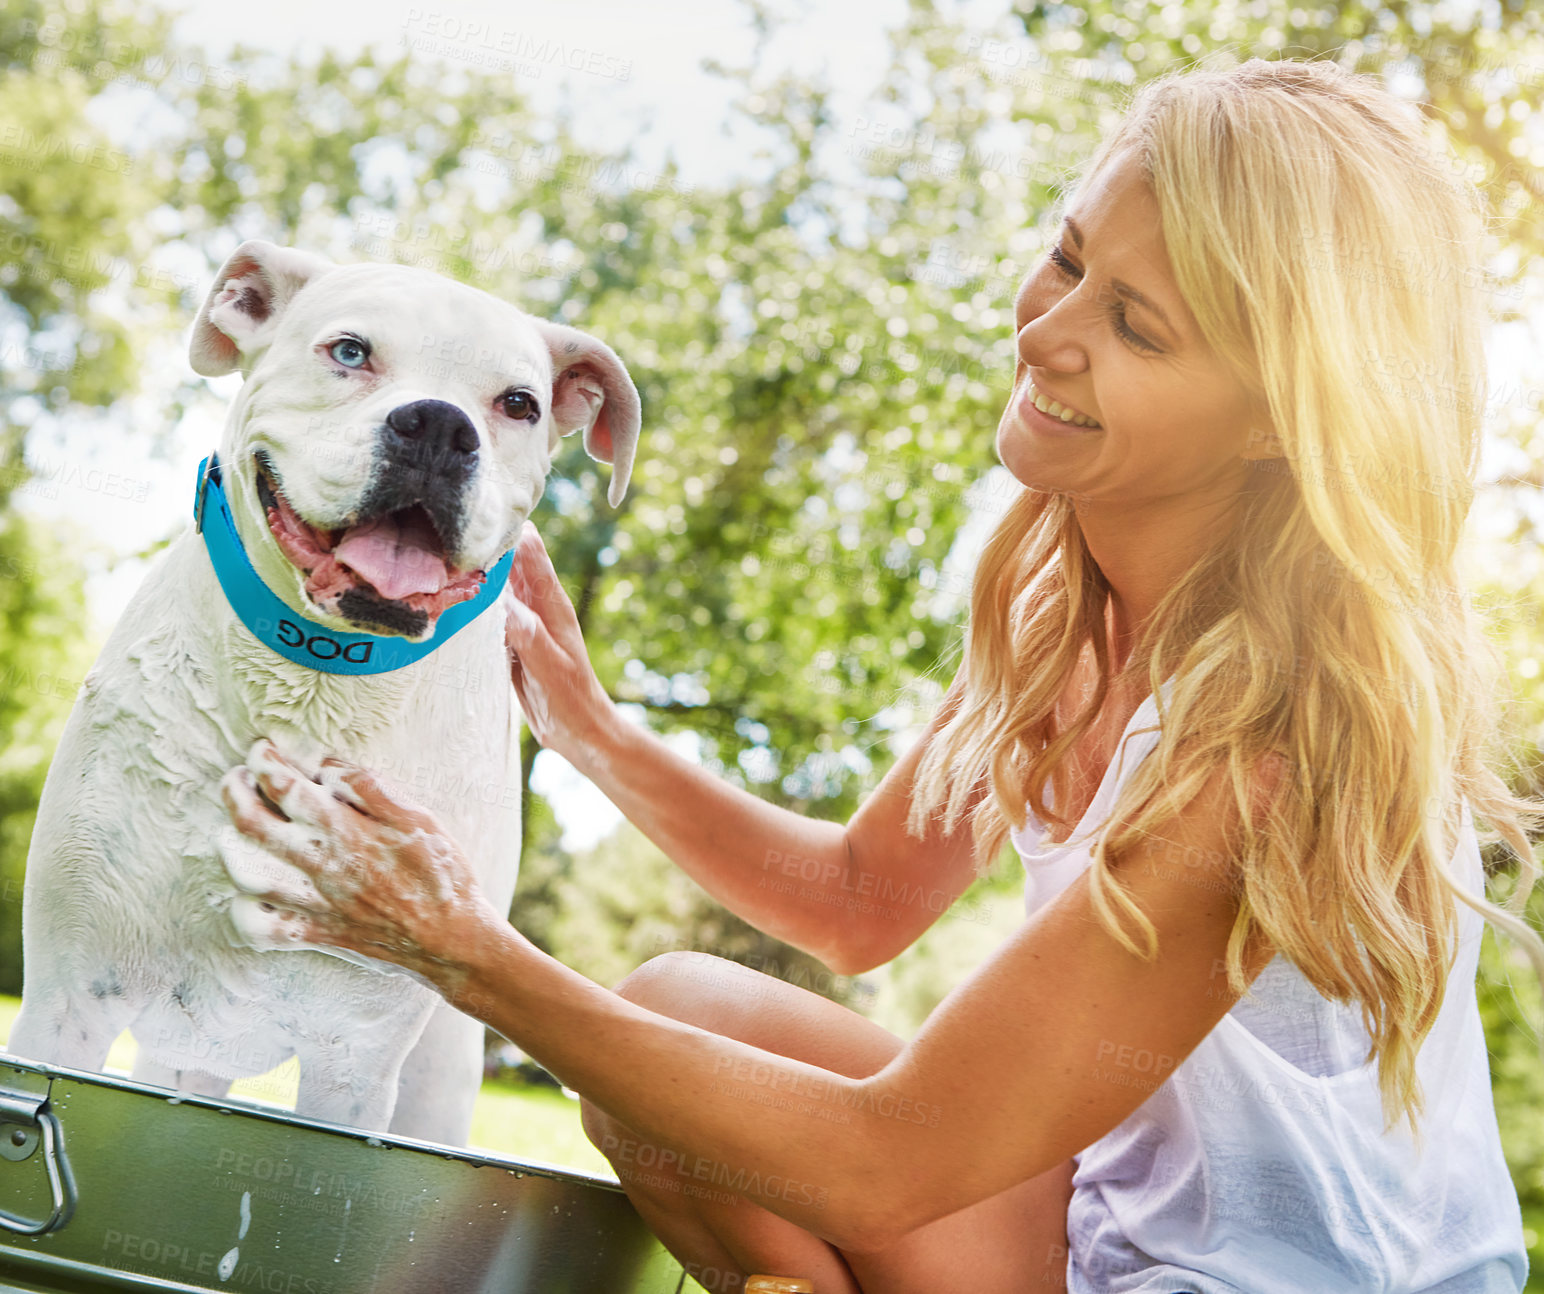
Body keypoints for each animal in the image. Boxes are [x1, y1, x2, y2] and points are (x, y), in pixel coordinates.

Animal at [3, 243, 636, 1142]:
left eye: (519, 404)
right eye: (349, 351)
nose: (439, 427)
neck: (317, 676)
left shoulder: (357, 1061)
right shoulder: (66, 1002)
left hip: (439, 1072)